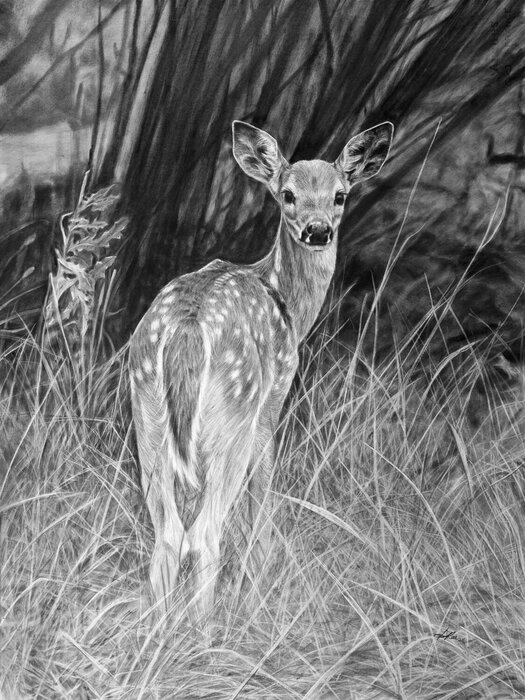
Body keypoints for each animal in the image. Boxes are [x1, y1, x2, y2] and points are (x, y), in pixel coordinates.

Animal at [129, 119, 393, 617]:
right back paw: (204, 628)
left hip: (146, 416)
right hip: (235, 412)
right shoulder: (273, 403)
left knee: (168, 533)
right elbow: (263, 502)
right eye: (288, 194)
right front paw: (259, 587)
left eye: (340, 195)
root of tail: (186, 332)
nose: (317, 230)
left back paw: (158, 626)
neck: (287, 302)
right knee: (204, 533)